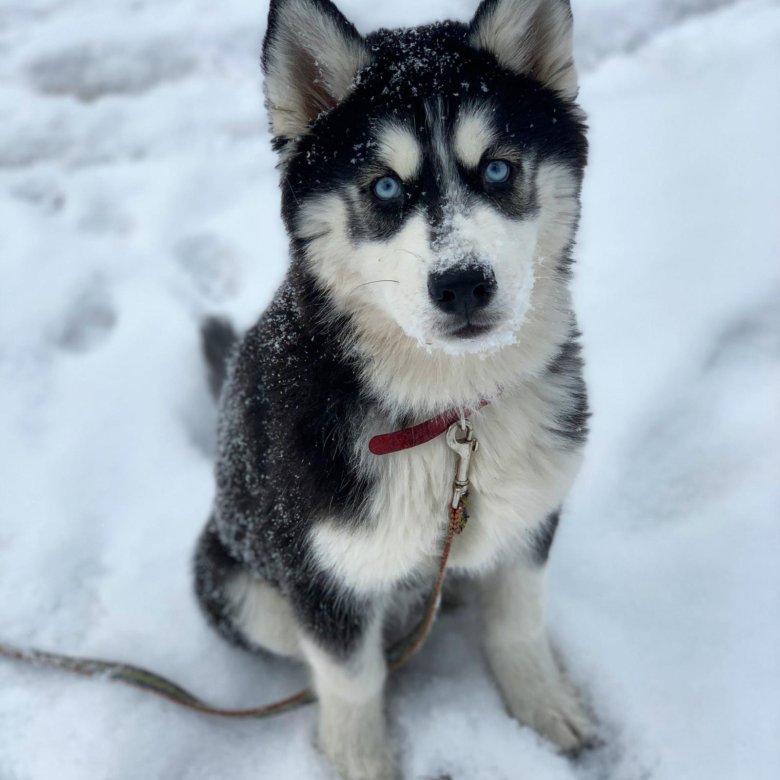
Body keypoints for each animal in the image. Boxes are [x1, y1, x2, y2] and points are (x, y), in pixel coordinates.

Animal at [193, 1, 592, 772]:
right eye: (384, 186)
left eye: (498, 168)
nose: (462, 284)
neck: (450, 411)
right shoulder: (322, 575)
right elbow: (353, 678)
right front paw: (361, 760)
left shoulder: (532, 512)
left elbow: (518, 621)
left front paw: (542, 702)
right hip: (232, 582)